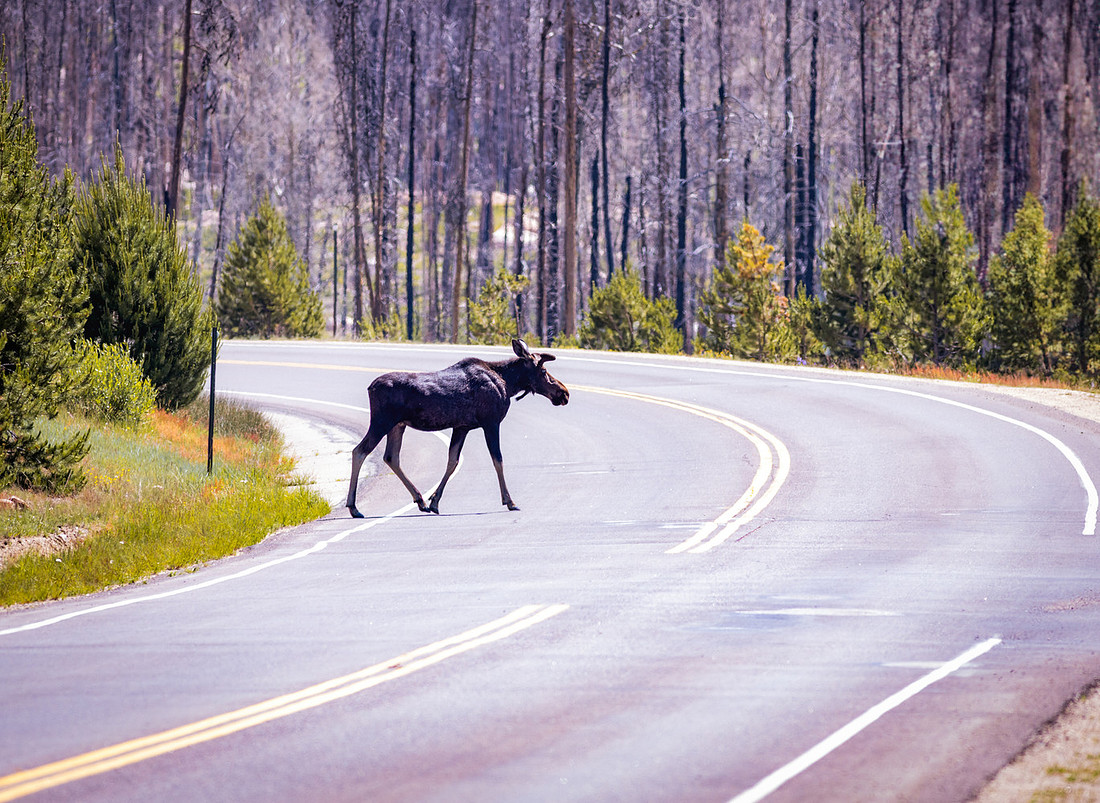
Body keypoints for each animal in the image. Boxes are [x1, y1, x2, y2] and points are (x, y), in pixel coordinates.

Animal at [346, 339, 570, 518]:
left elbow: (452, 461)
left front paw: (434, 501)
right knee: (360, 451)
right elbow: (497, 460)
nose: (564, 392)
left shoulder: (462, 427)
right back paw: (354, 507)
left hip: (397, 425)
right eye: (543, 371)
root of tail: (370, 387)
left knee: (391, 457)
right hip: (382, 421)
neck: (509, 384)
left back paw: (420, 500)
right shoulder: (491, 422)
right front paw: (510, 501)